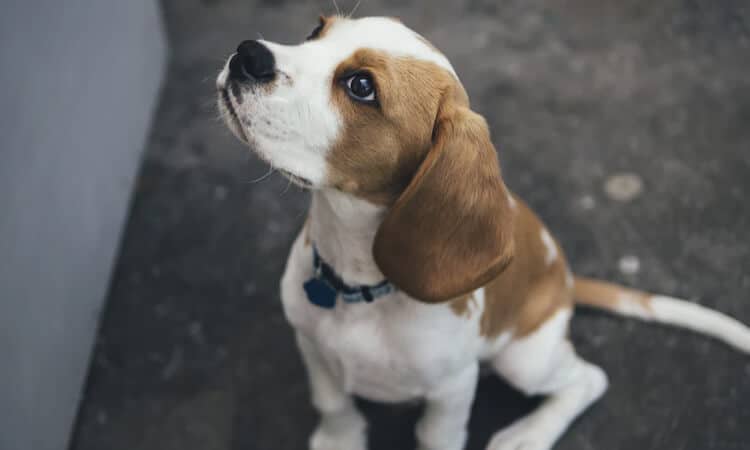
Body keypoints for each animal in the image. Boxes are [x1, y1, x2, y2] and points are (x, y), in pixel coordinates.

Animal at [217, 14, 750, 450]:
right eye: (316, 30)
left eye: (360, 85)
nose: (248, 54)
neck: (358, 283)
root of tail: (568, 281)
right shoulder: (311, 344)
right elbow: (333, 404)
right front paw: (338, 441)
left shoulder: (454, 388)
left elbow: (437, 436)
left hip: (525, 359)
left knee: (589, 380)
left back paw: (528, 435)